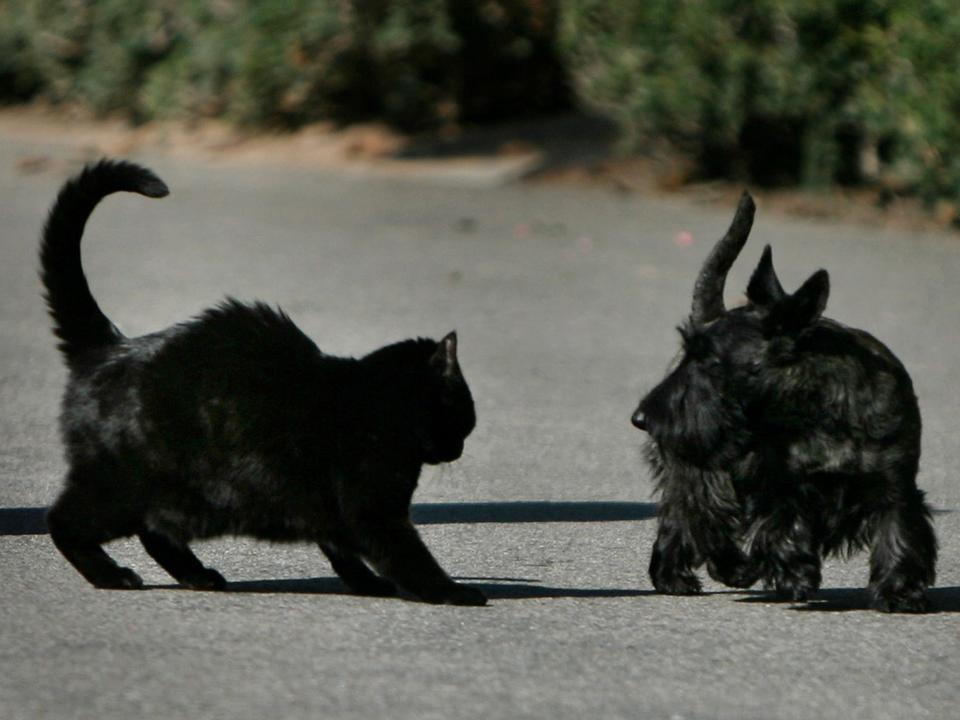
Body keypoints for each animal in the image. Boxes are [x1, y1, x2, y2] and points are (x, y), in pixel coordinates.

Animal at [40, 160, 484, 604]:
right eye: (465, 412)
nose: (460, 449)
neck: (380, 406)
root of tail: (111, 346)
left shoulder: (334, 514)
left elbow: (343, 552)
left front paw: (368, 585)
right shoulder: (372, 511)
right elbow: (409, 559)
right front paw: (453, 592)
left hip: (177, 499)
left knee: (155, 533)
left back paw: (197, 576)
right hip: (122, 487)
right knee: (63, 521)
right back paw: (112, 575)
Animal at [632, 193, 932, 612]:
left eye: (710, 362)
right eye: (686, 354)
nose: (642, 418)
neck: (817, 413)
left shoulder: (895, 485)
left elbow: (899, 531)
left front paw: (900, 591)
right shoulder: (779, 488)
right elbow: (782, 526)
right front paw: (794, 574)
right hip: (701, 473)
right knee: (696, 519)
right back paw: (708, 572)